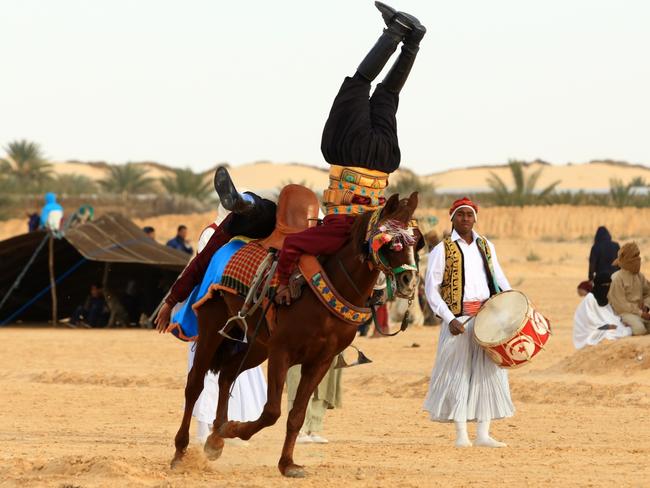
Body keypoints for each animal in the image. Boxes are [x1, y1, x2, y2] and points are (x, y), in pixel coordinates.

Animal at [170, 191, 418, 476]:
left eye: (415, 241)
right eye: (392, 242)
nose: (410, 281)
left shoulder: (320, 361)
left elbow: (296, 414)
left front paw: (287, 463)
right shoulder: (282, 352)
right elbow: (271, 412)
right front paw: (236, 429)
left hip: (256, 345)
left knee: (227, 375)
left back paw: (215, 439)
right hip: (212, 329)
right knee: (195, 385)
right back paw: (181, 451)